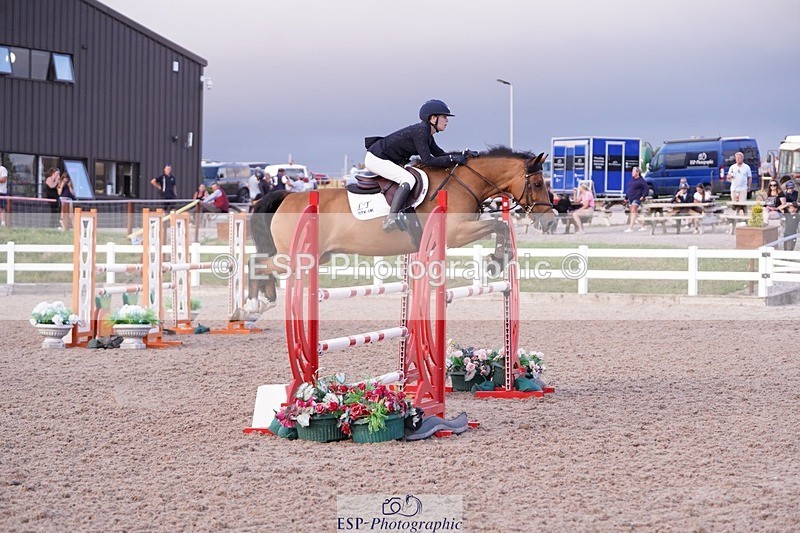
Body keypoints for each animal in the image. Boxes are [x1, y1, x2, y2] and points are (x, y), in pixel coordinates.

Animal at [247, 147, 552, 307]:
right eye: (538, 183)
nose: (549, 220)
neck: (463, 183)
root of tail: (288, 196)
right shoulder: (455, 233)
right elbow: (498, 225)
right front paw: (496, 260)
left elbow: (500, 227)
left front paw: (497, 259)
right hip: (296, 256)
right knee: (257, 262)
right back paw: (255, 301)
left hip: (318, 256)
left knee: (262, 262)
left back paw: (265, 296)